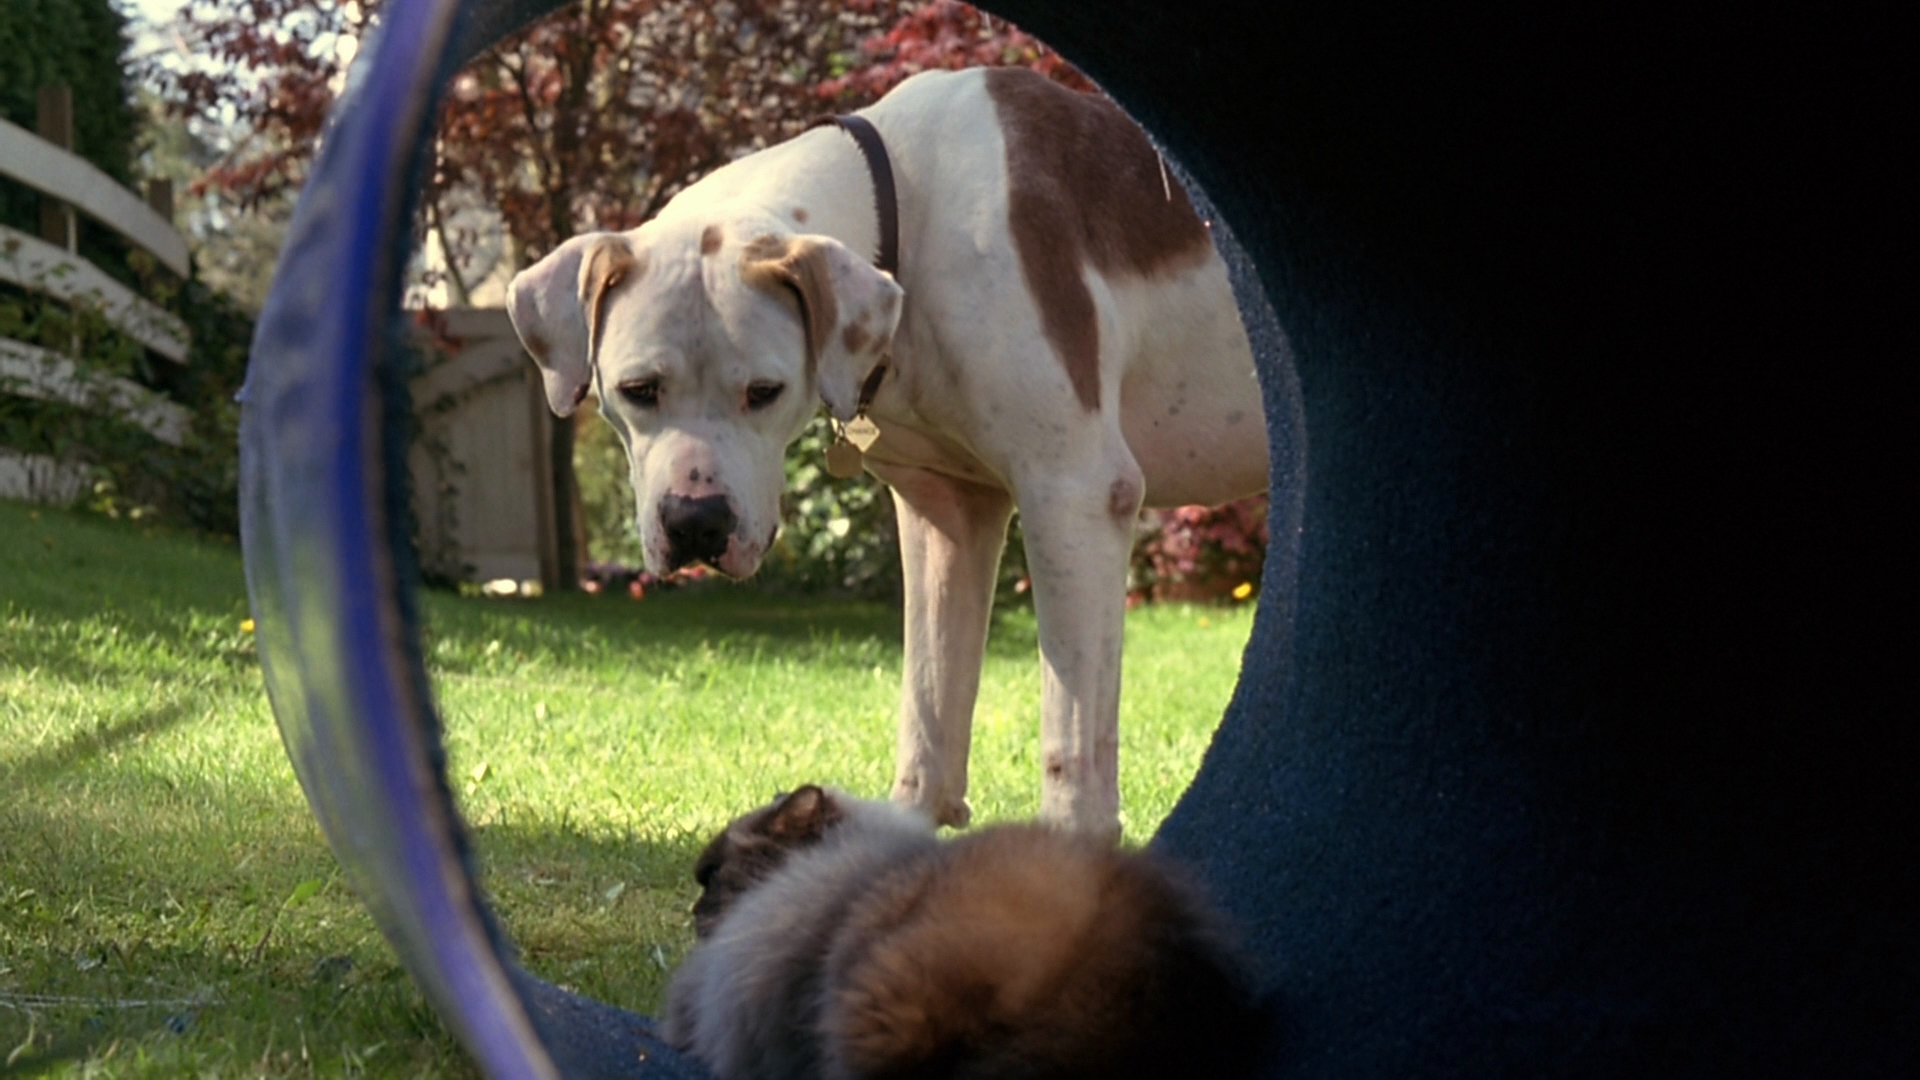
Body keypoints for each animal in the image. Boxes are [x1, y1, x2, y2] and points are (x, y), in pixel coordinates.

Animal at [503, 69, 1267, 841]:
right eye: (638, 390)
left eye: (764, 392)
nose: (697, 523)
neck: (912, 211)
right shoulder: (946, 511)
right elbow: (929, 699)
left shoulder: (1073, 492)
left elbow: (1070, 732)